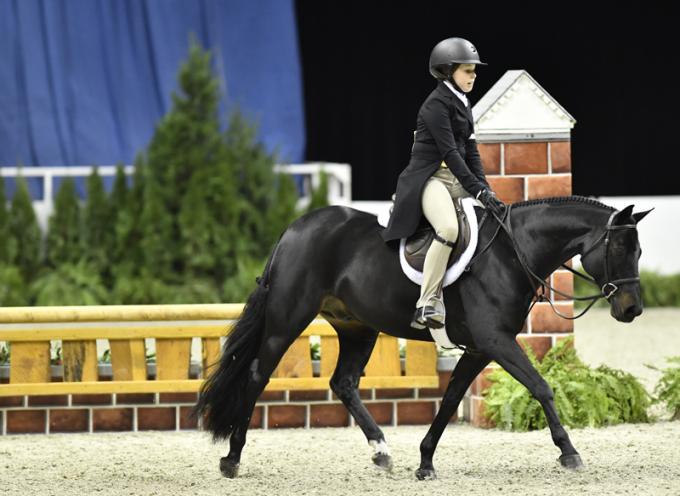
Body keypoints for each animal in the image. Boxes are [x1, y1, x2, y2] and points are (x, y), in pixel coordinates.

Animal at [194, 195, 652, 480]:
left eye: (640, 251)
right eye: (619, 249)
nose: (632, 310)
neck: (511, 253)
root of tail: (294, 228)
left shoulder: (480, 348)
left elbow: (449, 401)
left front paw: (425, 461)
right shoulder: (496, 341)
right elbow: (541, 387)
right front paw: (569, 452)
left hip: (358, 327)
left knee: (343, 383)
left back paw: (381, 450)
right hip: (288, 321)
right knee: (257, 375)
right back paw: (232, 458)